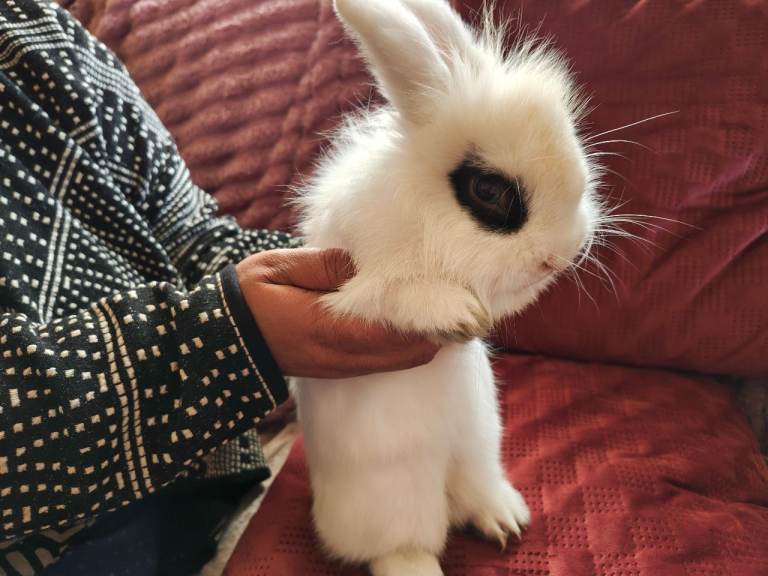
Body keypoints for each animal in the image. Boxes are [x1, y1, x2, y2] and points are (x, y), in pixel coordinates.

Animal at [292, 1, 600, 575]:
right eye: (488, 190)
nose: (560, 255)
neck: (427, 218)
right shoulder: (356, 285)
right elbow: (399, 294)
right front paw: (458, 313)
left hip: (479, 443)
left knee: (472, 494)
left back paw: (506, 520)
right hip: (392, 492)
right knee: (398, 542)